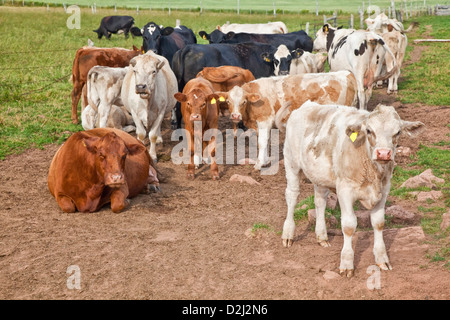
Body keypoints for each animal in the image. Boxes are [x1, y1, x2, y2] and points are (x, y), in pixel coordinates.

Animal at [218, 70, 358, 170]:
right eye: (228, 101)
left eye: (244, 101)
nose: (235, 116)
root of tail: (346, 73)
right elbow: (266, 141)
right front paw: (266, 161)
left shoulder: (264, 121)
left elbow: (262, 142)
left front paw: (258, 164)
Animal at [282, 102, 426, 278]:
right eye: (369, 130)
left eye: (397, 131)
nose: (383, 153)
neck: (373, 173)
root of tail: (307, 104)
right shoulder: (344, 190)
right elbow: (349, 226)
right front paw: (346, 264)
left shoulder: (384, 190)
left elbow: (379, 223)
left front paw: (382, 259)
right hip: (291, 162)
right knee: (292, 196)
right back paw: (288, 234)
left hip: (319, 175)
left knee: (320, 201)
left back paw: (322, 236)